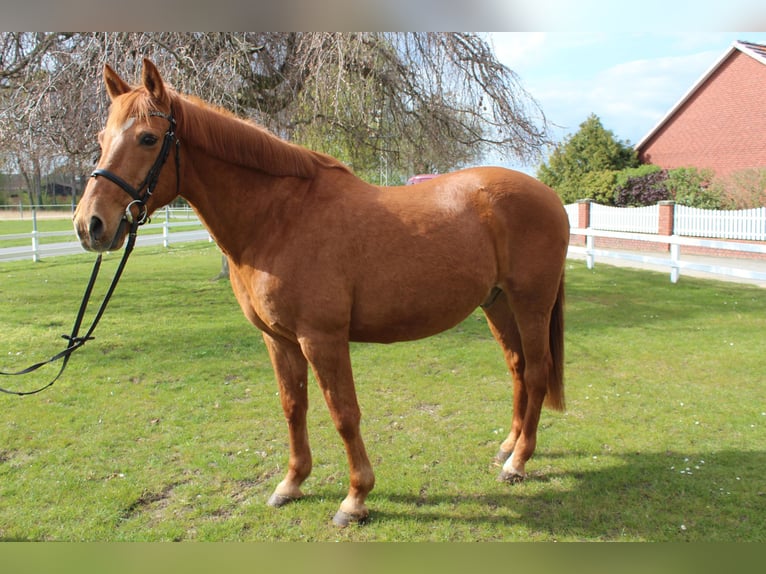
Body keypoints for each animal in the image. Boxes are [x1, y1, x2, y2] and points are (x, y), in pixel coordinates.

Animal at [73, 59, 570, 526]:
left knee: (537, 372)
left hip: (530, 303)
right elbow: (294, 407)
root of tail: (548, 195)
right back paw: (508, 447)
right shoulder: (279, 339)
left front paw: (355, 499)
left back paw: (518, 463)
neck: (279, 219)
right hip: (497, 303)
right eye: (101, 135)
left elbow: (343, 413)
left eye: (148, 138)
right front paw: (291, 483)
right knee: (518, 369)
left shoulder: (322, 338)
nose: (90, 225)